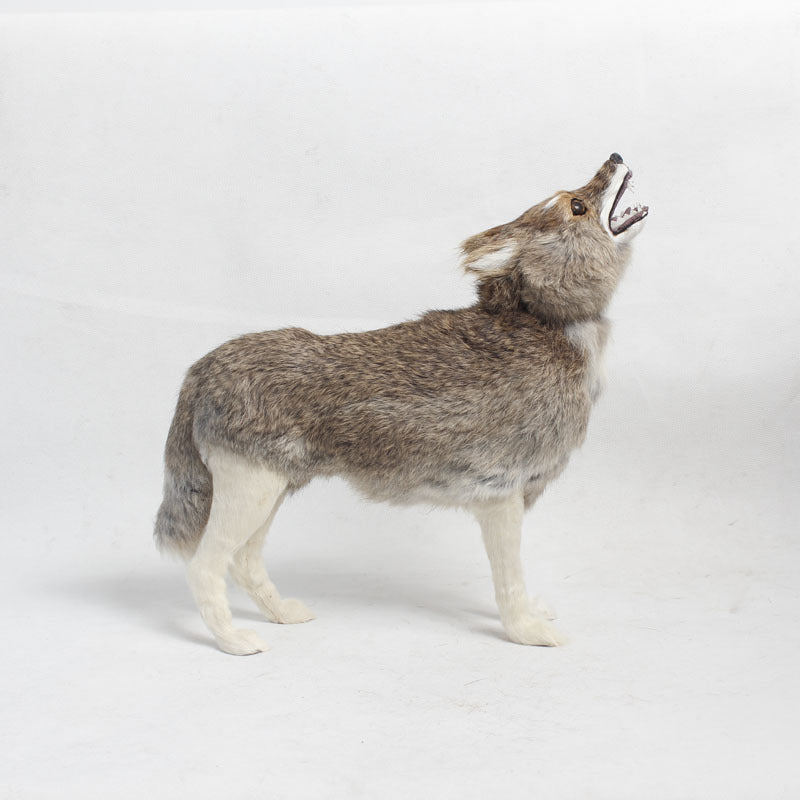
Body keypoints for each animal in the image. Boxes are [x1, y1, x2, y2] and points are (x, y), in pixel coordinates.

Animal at [155, 153, 648, 655]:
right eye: (576, 206)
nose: (614, 157)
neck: (550, 324)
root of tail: (202, 369)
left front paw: (532, 615)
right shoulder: (502, 497)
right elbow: (508, 581)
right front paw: (527, 632)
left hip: (271, 492)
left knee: (244, 562)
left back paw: (285, 615)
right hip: (251, 493)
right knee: (205, 566)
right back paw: (235, 641)